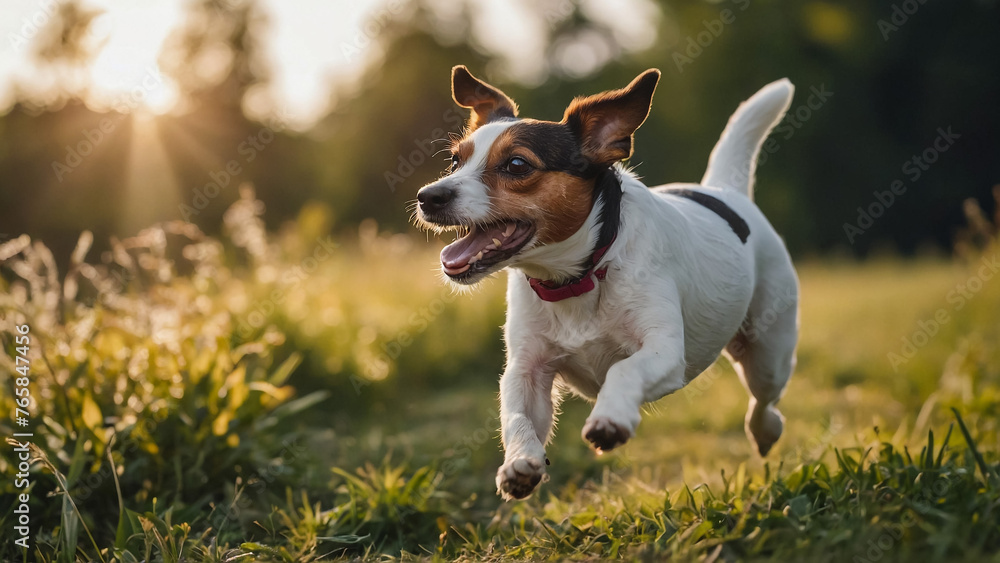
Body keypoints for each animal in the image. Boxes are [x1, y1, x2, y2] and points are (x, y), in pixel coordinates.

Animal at [414, 66, 796, 502]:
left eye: (516, 164)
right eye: (454, 160)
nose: (427, 196)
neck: (576, 278)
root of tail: (723, 190)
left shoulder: (665, 352)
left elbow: (624, 371)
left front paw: (609, 419)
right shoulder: (527, 370)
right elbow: (516, 415)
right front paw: (519, 462)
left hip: (768, 353)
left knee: (764, 400)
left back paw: (766, 431)